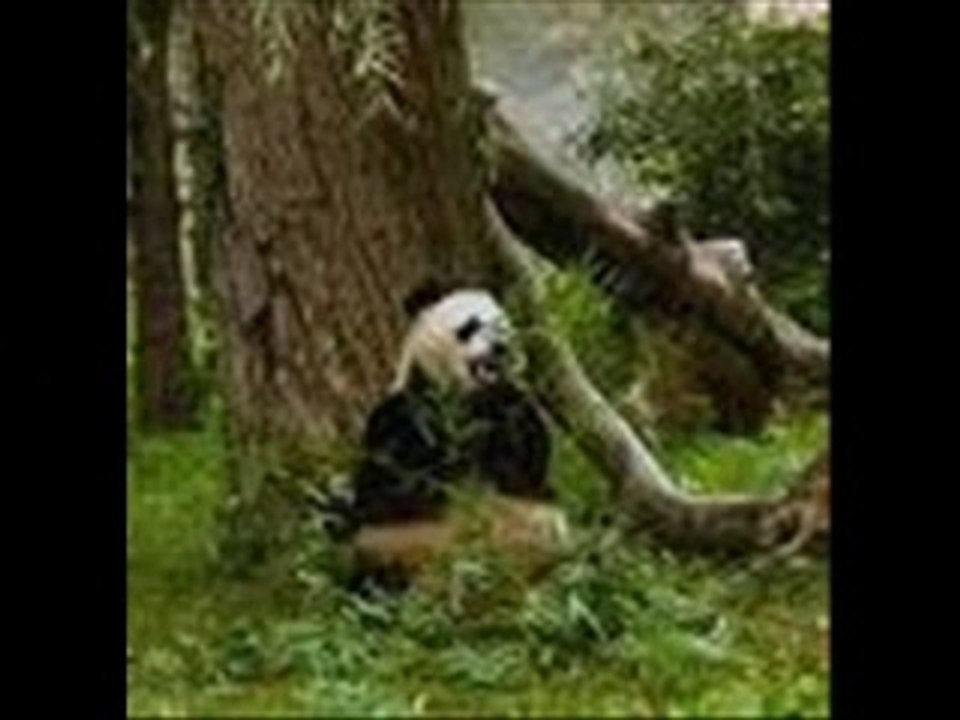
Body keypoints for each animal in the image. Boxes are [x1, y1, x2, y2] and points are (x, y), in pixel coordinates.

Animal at [327, 279, 568, 589]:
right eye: (471, 325)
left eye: (503, 327)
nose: (500, 347)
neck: (466, 400)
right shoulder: (401, 411)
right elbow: (390, 486)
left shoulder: (509, 410)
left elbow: (526, 469)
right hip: (394, 551)